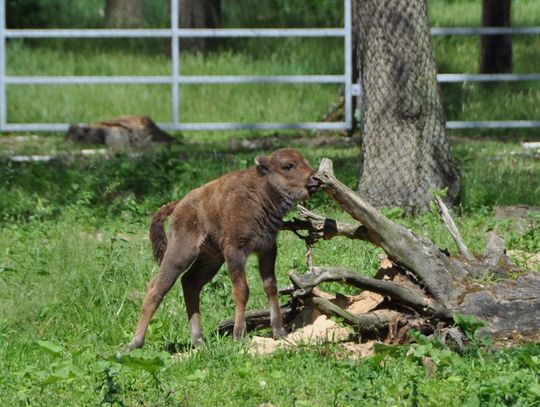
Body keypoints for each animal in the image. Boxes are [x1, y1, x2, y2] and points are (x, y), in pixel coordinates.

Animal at [129, 148, 318, 350]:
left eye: (305, 161)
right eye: (288, 165)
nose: (314, 178)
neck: (260, 191)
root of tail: (178, 204)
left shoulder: (267, 249)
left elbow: (270, 286)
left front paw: (279, 331)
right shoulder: (235, 252)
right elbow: (242, 291)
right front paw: (239, 335)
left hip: (211, 260)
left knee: (190, 283)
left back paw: (198, 340)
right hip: (181, 253)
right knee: (157, 287)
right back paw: (134, 344)